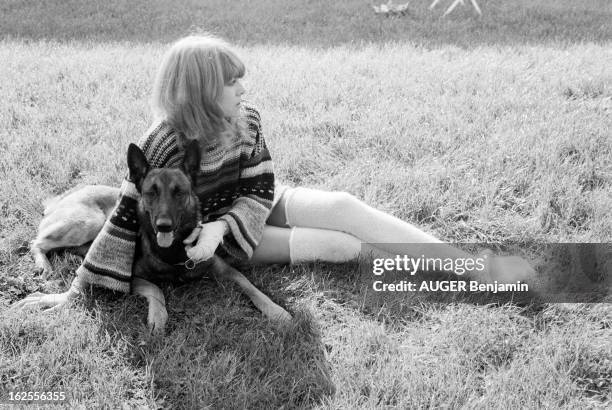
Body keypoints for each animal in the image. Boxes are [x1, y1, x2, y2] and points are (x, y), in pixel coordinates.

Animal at [26, 141, 290, 334]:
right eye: (151, 192)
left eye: (179, 192)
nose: (164, 225)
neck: (173, 251)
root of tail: (67, 194)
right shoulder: (129, 277)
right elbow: (156, 289)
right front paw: (158, 316)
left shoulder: (225, 270)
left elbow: (250, 286)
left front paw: (275, 310)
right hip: (90, 223)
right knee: (37, 242)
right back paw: (43, 269)